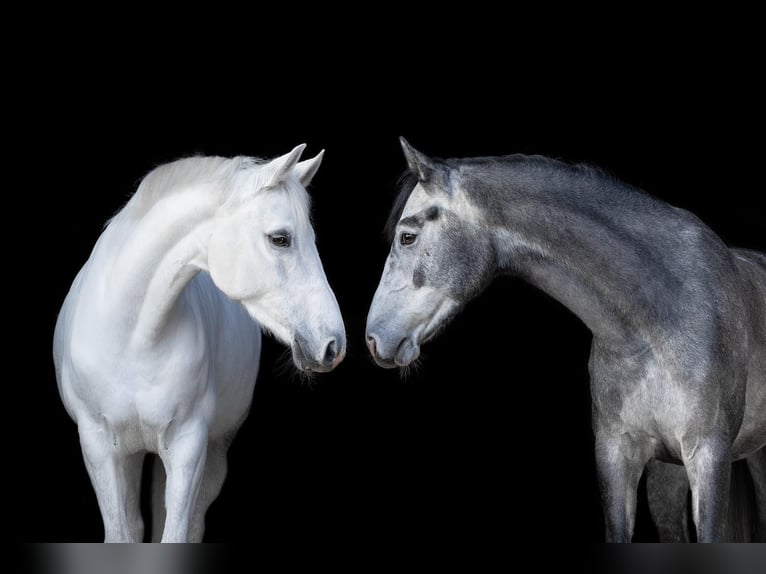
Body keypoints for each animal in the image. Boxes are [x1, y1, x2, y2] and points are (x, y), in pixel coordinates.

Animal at [51, 145, 344, 544]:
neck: (133, 338)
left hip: (213, 451)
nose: (334, 343)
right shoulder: (97, 446)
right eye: (280, 238)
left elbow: (175, 533)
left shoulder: (189, 447)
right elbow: (122, 534)